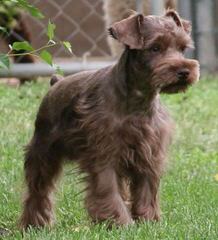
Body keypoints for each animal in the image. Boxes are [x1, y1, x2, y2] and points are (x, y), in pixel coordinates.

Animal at [19, 10, 200, 230]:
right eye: (155, 47)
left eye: (182, 48)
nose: (184, 71)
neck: (138, 100)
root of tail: (56, 82)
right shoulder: (104, 154)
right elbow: (108, 189)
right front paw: (120, 223)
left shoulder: (149, 154)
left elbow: (147, 190)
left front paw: (147, 221)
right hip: (43, 151)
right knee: (38, 190)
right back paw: (34, 224)